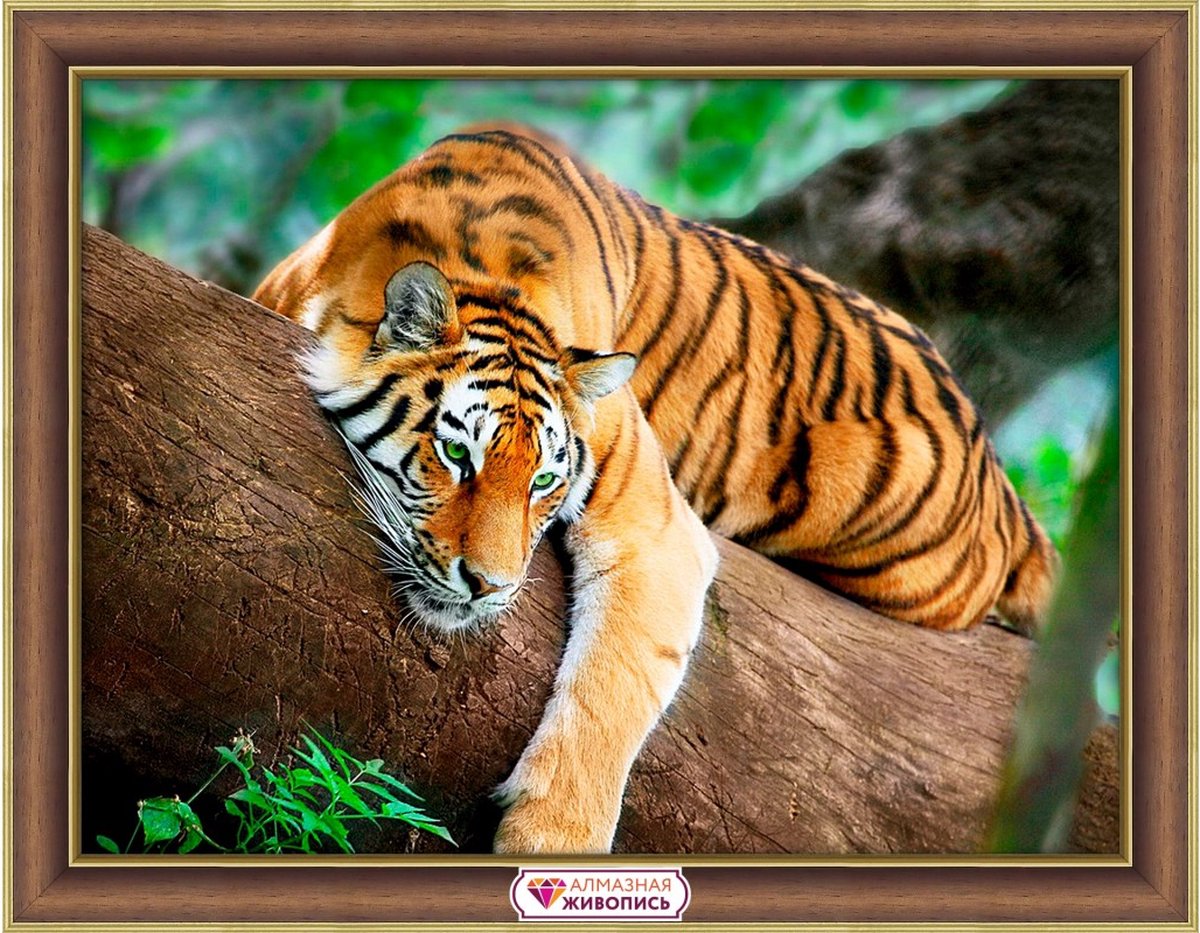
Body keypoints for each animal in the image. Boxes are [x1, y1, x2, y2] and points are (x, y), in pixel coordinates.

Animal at [253, 126, 1058, 854]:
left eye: (544, 480)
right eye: (456, 454)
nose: (490, 586)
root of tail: (997, 473)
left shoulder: (656, 528)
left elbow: (612, 690)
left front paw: (553, 843)